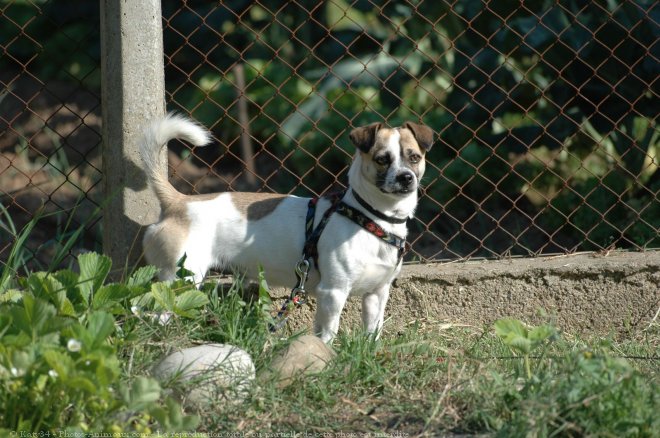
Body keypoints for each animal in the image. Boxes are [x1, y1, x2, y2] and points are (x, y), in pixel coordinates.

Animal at [139, 115, 434, 342]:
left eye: (414, 158)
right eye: (382, 159)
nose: (406, 177)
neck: (370, 218)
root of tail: (178, 201)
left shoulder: (377, 294)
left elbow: (373, 332)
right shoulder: (333, 292)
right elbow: (328, 332)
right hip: (182, 278)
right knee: (153, 313)